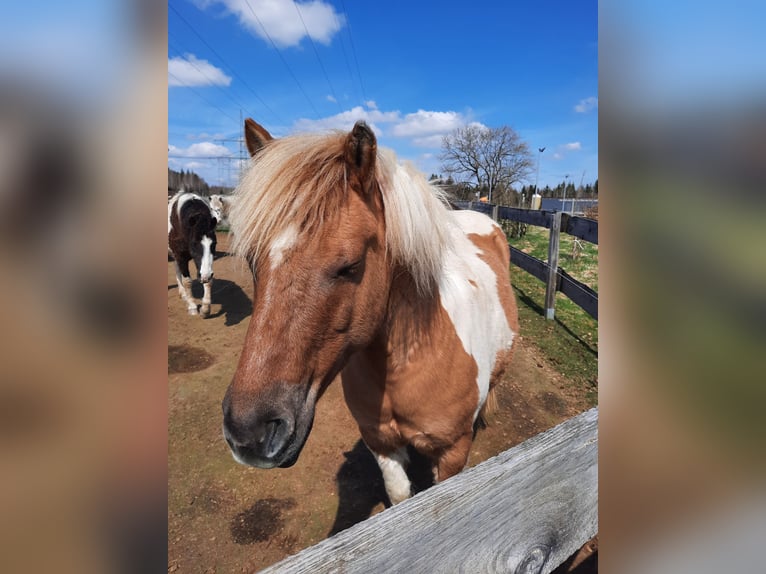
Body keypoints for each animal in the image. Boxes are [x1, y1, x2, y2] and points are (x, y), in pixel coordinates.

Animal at [224, 120, 520, 504]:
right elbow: (399, 495)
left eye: (350, 266)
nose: (248, 431)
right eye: (252, 261)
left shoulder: (453, 454)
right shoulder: (380, 442)